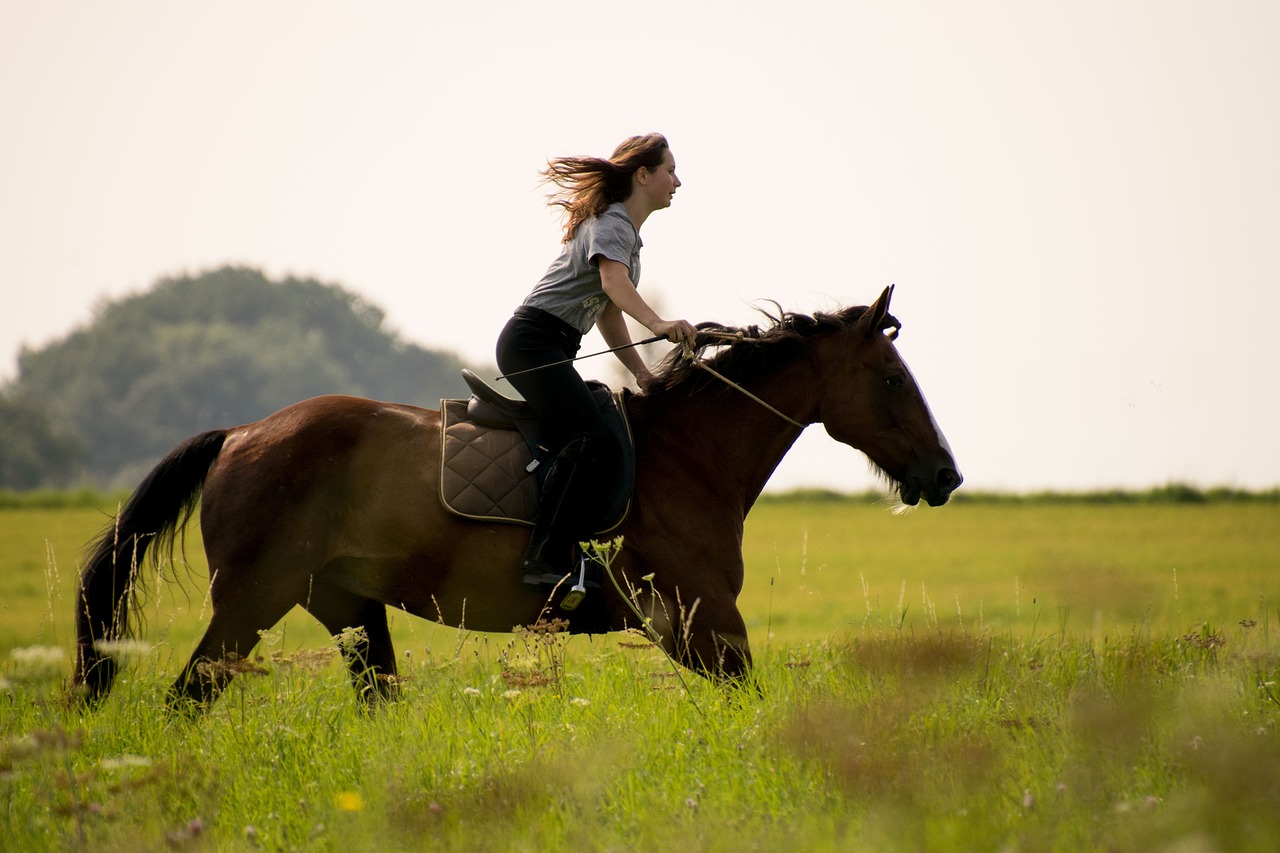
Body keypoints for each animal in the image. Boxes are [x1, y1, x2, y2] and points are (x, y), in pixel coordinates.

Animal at [72, 286, 961, 710]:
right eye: (890, 379)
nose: (946, 474)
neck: (689, 452)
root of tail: (242, 433)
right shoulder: (703, 618)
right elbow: (753, 704)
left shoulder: (699, 625)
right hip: (253, 599)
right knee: (187, 698)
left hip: (348, 607)